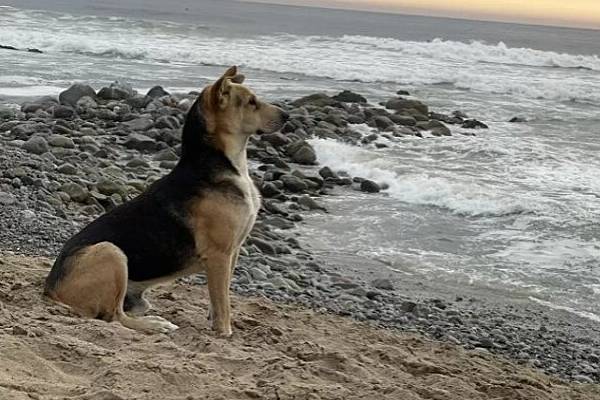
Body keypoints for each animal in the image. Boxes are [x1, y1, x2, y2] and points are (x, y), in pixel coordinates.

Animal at [43, 67, 290, 336]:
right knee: (115, 317)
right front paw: (224, 332)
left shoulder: (231, 252)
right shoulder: (219, 255)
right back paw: (155, 324)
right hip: (111, 252)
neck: (221, 163)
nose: (287, 116)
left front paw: (213, 321)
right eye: (251, 102)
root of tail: (50, 289)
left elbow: (218, 297)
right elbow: (223, 301)